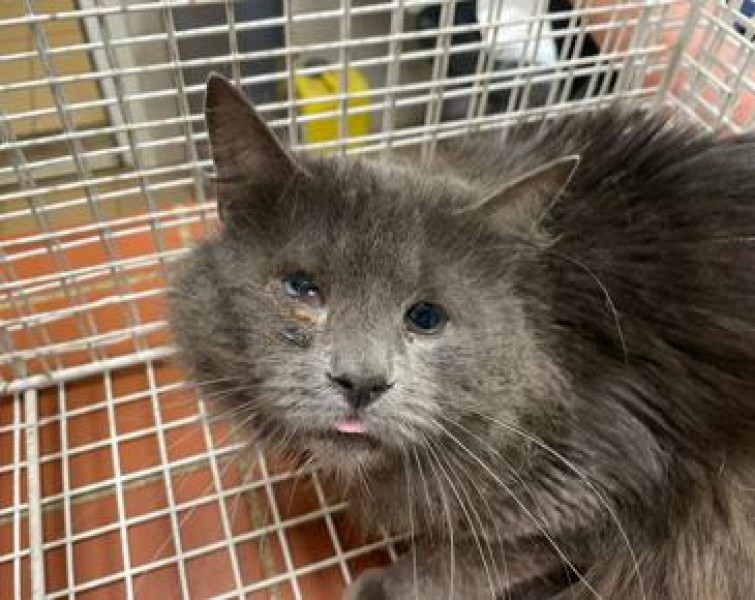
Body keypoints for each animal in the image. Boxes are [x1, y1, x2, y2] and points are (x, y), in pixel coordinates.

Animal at [169, 73, 755, 600]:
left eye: (426, 317)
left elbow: (462, 560)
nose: (361, 381)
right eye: (303, 288)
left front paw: (382, 585)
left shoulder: (595, 484)